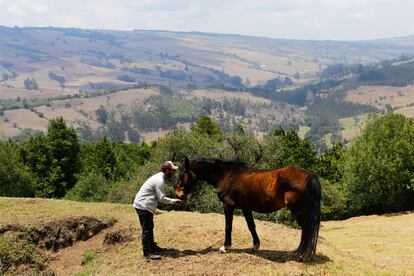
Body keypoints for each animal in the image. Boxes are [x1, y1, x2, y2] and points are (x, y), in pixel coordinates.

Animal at [176, 157, 322, 260]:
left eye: (183, 174)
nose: (178, 195)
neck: (227, 175)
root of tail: (310, 175)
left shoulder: (228, 206)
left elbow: (228, 226)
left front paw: (225, 247)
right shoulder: (246, 208)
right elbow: (251, 226)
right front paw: (255, 246)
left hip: (298, 210)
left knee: (306, 229)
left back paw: (301, 255)